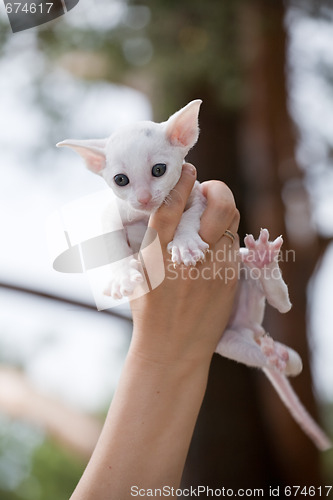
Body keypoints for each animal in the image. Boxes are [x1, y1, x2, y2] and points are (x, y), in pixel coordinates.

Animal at [57, 100, 330, 450]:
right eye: (120, 179)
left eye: (158, 170)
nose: (143, 199)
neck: (147, 216)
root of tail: (248, 323)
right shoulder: (112, 213)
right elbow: (112, 239)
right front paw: (120, 275)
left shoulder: (199, 196)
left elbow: (190, 216)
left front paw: (185, 243)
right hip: (228, 341)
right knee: (272, 357)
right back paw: (276, 356)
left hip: (248, 280)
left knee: (283, 306)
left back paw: (263, 264)